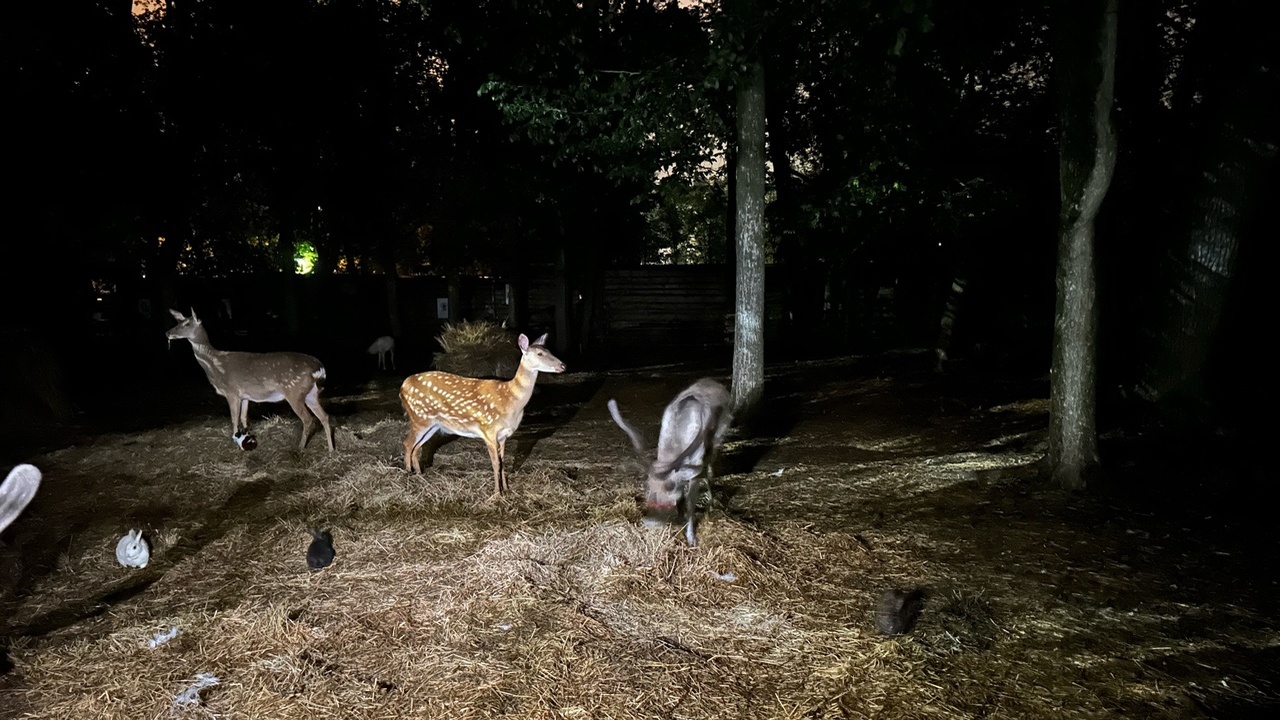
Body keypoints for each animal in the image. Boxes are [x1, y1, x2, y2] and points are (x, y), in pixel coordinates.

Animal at [166, 307, 335, 448]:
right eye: (178, 321)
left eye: (187, 324)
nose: (167, 333)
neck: (215, 365)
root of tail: (319, 369)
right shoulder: (245, 395)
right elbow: (243, 417)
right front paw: (244, 436)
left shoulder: (232, 392)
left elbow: (234, 418)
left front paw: (234, 440)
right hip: (310, 393)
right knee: (325, 416)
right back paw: (331, 450)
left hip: (294, 391)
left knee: (308, 419)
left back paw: (300, 448)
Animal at [396, 330, 563, 491]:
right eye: (540, 354)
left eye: (549, 350)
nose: (563, 365)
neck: (510, 401)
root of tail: (402, 387)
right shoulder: (489, 430)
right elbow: (495, 464)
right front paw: (497, 493)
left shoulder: (504, 435)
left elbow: (503, 462)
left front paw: (507, 489)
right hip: (419, 417)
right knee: (407, 444)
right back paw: (408, 475)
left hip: (434, 425)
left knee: (416, 447)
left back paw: (420, 475)